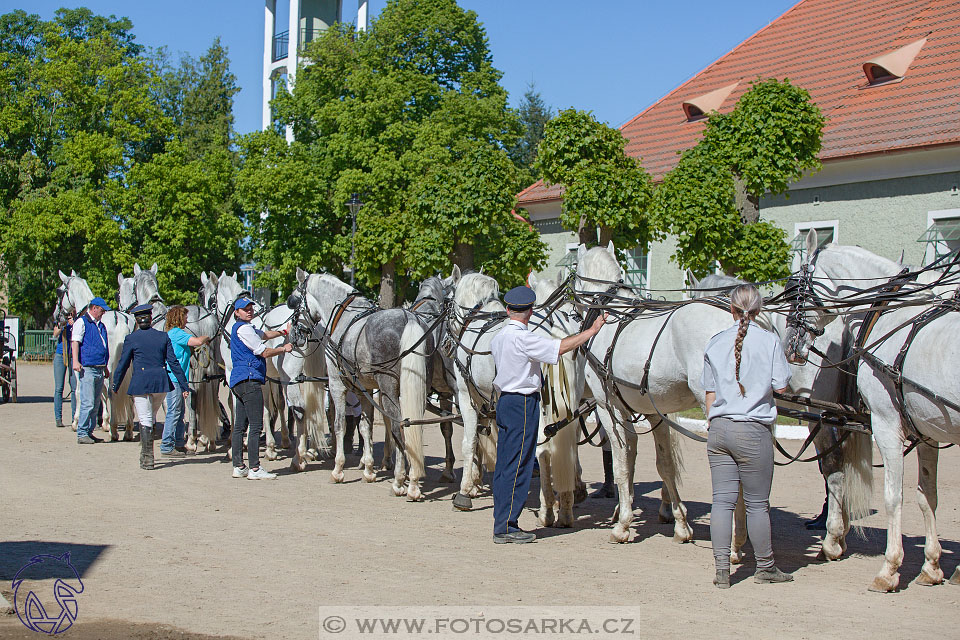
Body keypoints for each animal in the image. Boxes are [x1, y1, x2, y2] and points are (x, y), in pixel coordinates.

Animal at [800, 234, 960, 592]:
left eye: (795, 284)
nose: (792, 339)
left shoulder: (887, 426)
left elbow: (892, 497)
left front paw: (889, 569)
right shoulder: (927, 430)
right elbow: (926, 496)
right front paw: (931, 566)